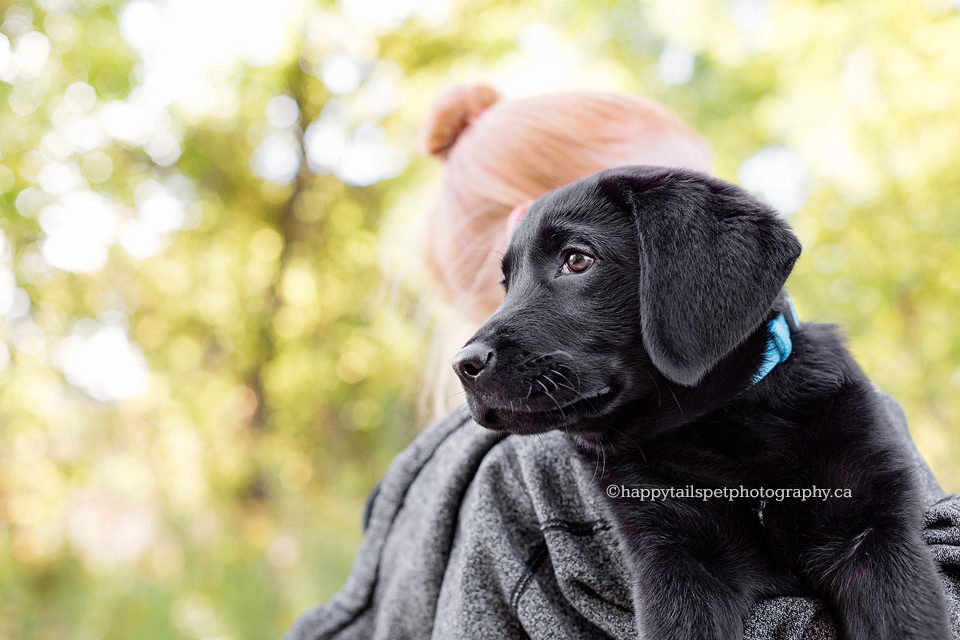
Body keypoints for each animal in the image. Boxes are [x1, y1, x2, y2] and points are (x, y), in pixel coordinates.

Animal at [452, 166, 952, 640]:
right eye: (506, 283)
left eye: (577, 260)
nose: (463, 365)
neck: (720, 428)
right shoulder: (676, 560)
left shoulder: (871, 530)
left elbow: (903, 621)